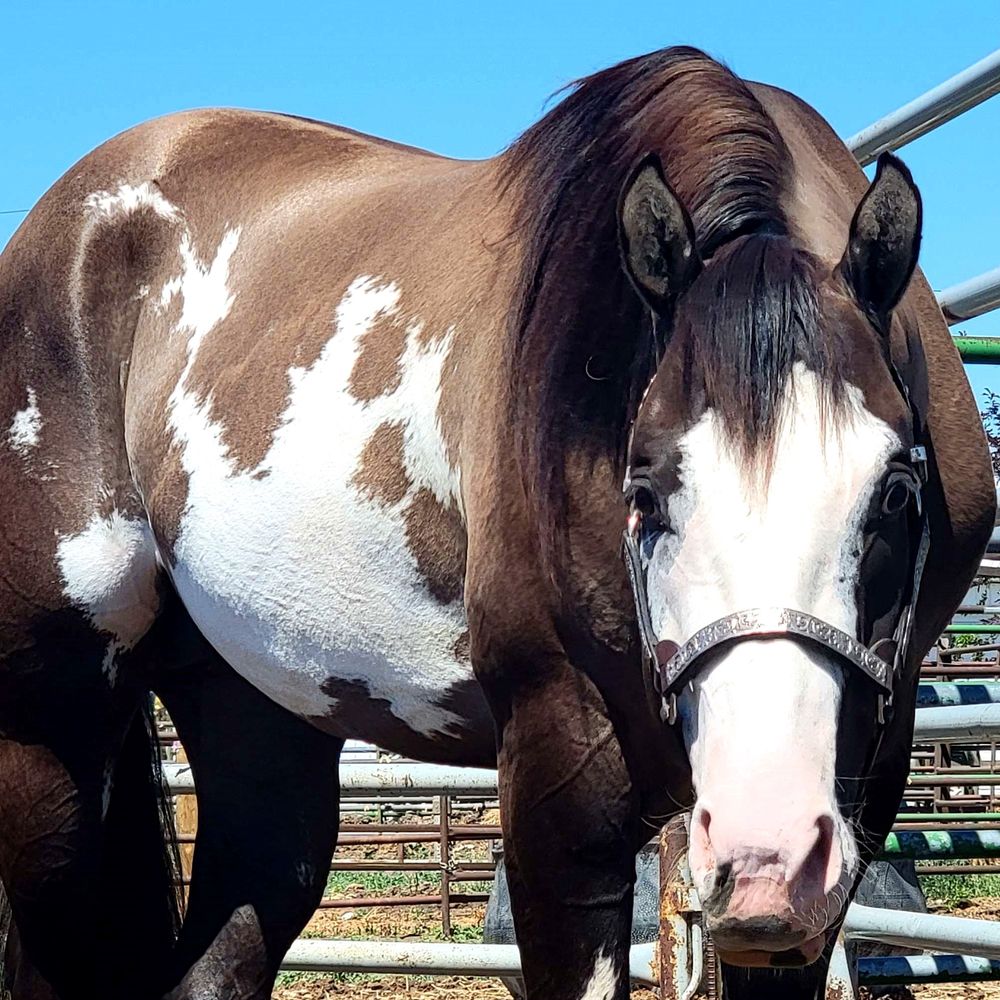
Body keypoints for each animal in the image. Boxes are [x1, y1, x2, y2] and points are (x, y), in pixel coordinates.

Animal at [0, 44, 993, 1000]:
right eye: (644, 493)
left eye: (896, 492)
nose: (764, 858)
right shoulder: (563, 786)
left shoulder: (860, 791)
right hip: (53, 737)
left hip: (256, 714)